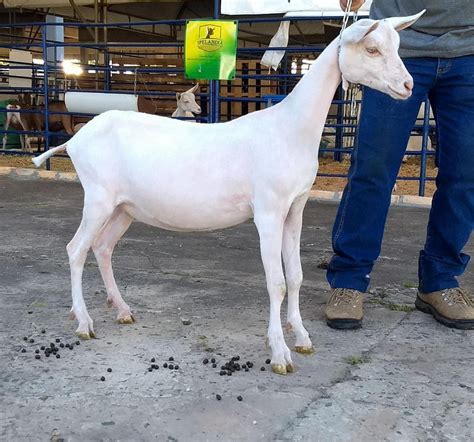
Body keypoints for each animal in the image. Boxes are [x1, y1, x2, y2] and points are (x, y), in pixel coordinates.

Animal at [35, 12, 424, 374]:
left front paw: (301, 337)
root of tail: (76, 140)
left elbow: (296, 276)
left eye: (397, 46)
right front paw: (279, 353)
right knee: (76, 250)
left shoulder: (295, 208)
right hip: (98, 198)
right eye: (372, 49)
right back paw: (84, 322)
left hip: (124, 207)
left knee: (102, 248)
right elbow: (277, 282)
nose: (407, 85)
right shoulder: (268, 210)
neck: (289, 129)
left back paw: (123, 310)